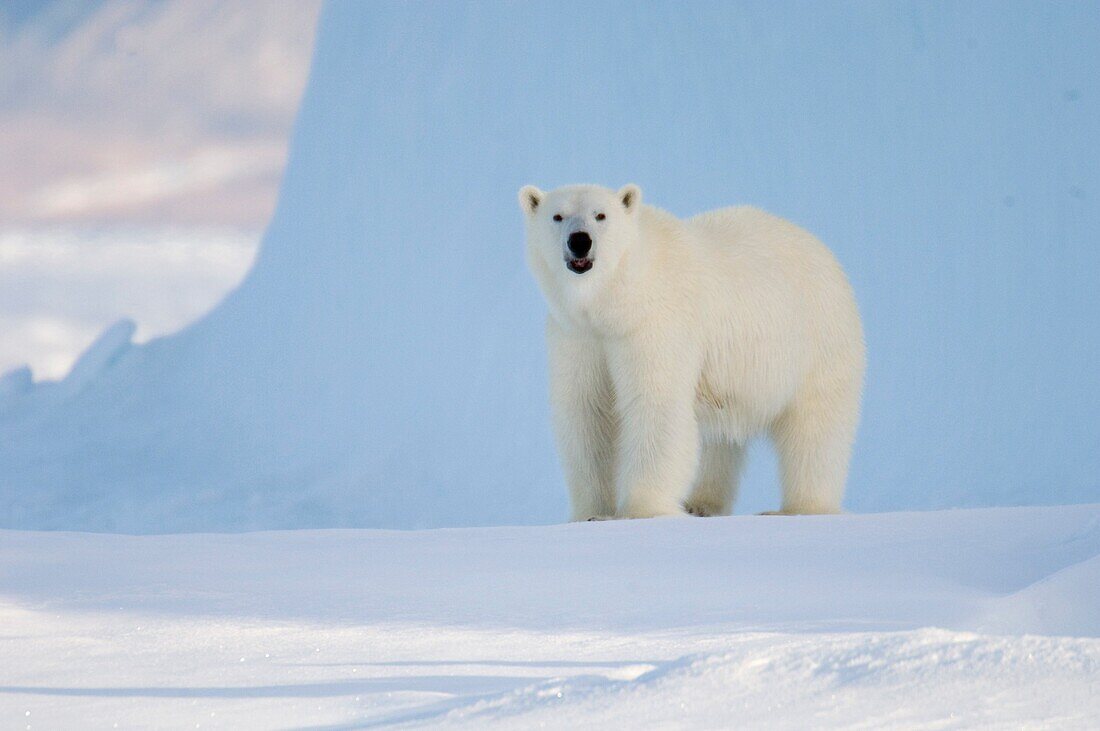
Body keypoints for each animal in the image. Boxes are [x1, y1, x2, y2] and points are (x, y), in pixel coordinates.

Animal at [519, 185, 862, 521]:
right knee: (721, 436)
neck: (618, 298)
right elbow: (588, 411)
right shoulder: (578, 335)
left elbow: (655, 403)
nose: (580, 241)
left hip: (817, 338)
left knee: (815, 426)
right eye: (557, 216)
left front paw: (642, 510)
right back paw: (702, 504)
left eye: (600, 215)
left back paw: (800, 508)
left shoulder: (654, 323)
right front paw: (591, 514)